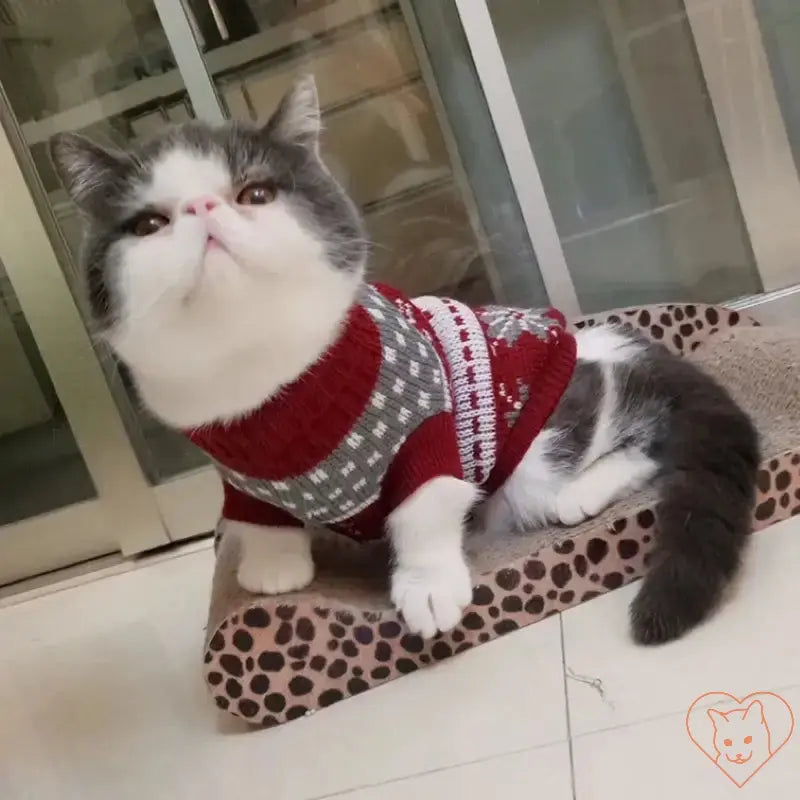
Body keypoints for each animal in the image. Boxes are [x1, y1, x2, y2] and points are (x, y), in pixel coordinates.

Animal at [51, 75, 764, 644]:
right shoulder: (239, 472)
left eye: (255, 193)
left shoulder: (428, 428)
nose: (202, 209)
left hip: (542, 446)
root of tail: (626, 340)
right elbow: (256, 518)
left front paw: (427, 586)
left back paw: (581, 494)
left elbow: (423, 508)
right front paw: (274, 568)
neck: (254, 366)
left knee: (642, 436)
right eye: (148, 225)